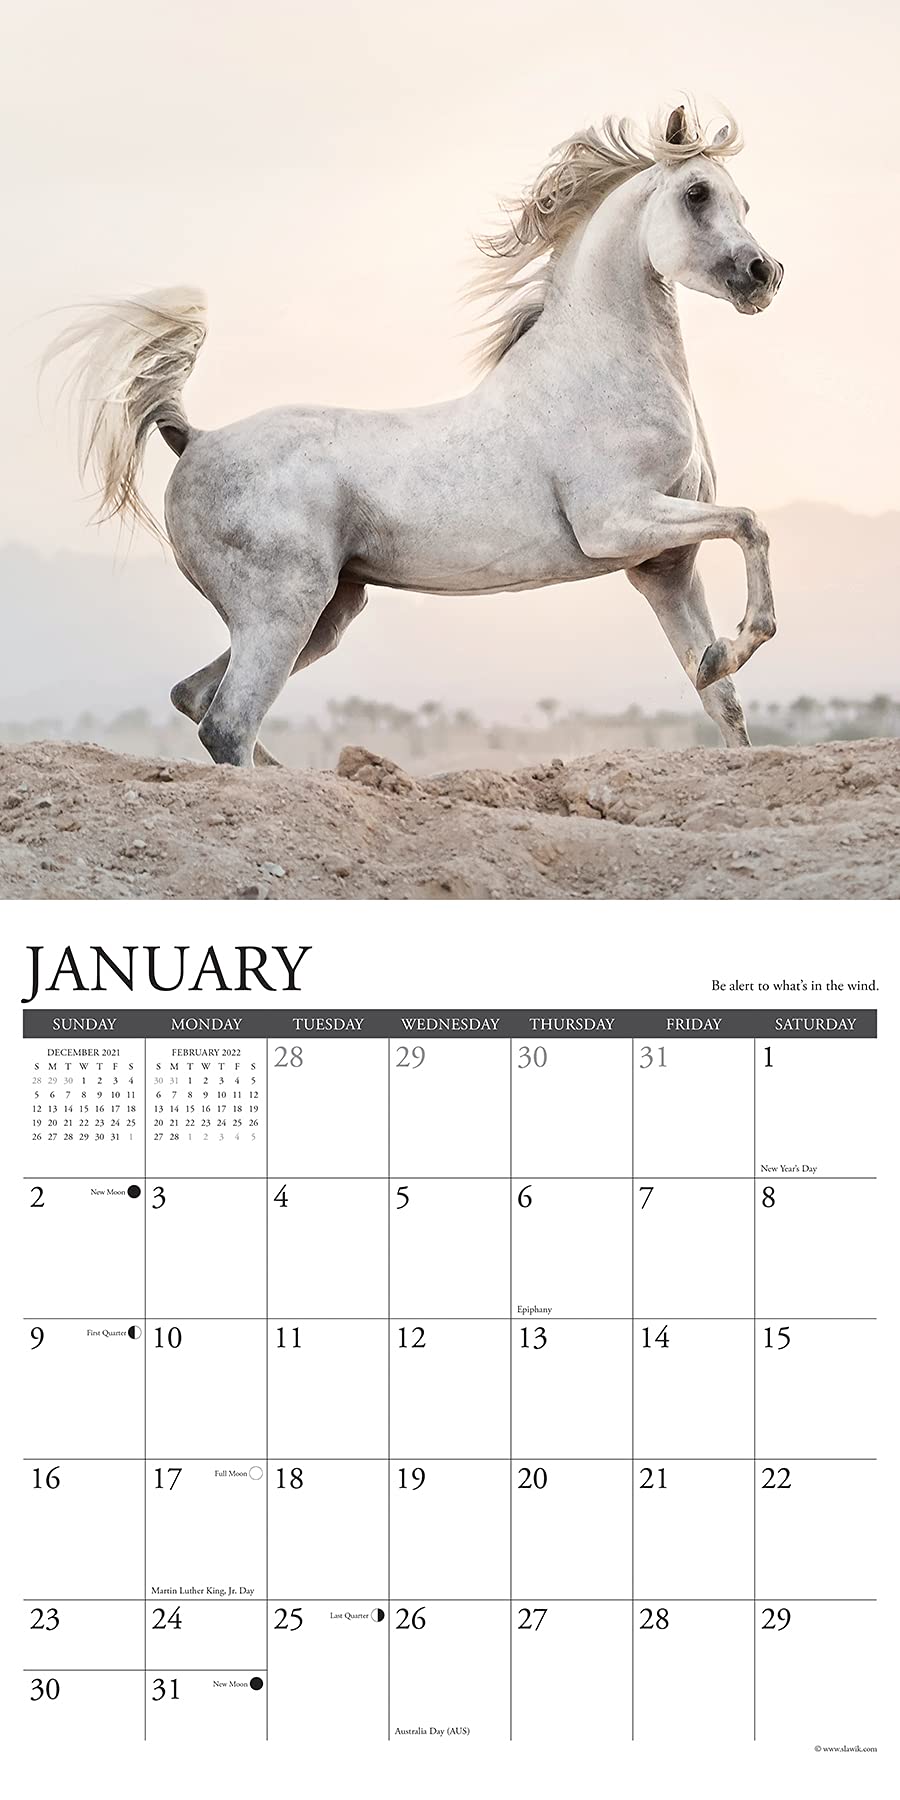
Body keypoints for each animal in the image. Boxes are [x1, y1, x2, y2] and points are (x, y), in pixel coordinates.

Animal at [47, 101, 783, 764]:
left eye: (743, 201)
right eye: (696, 193)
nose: (763, 275)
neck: (605, 369)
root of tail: (194, 439)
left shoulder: (664, 568)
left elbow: (722, 698)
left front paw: (717, 659)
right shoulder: (618, 523)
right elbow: (750, 523)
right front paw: (741, 638)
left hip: (328, 613)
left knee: (196, 699)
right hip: (282, 609)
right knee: (228, 723)